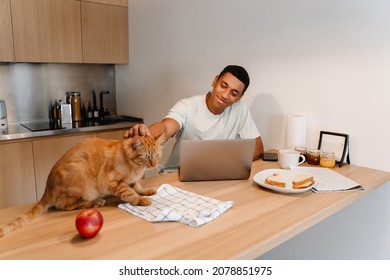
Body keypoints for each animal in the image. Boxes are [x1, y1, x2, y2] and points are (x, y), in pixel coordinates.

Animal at [0, 135, 163, 237]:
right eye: (147, 156)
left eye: (157, 155)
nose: (154, 164)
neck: (136, 167)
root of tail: (47, 187)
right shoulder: (114, 181)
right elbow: (130, 193)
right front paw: (141, 200)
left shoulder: (133, 180)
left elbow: (138, 187)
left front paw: (147, 191)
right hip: (81, 174)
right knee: (65, 206)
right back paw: (96, 202)